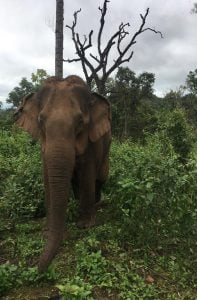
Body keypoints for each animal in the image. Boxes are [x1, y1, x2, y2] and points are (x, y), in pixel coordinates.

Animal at [14, 74, 111, 270]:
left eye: (80, 122)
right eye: (40, 121)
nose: (36, 269)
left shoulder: (92, 141)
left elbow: (87, 174)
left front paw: (85, 226)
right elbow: (47, 176)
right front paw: (48, 230)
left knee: (100, 177)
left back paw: (97, 204)